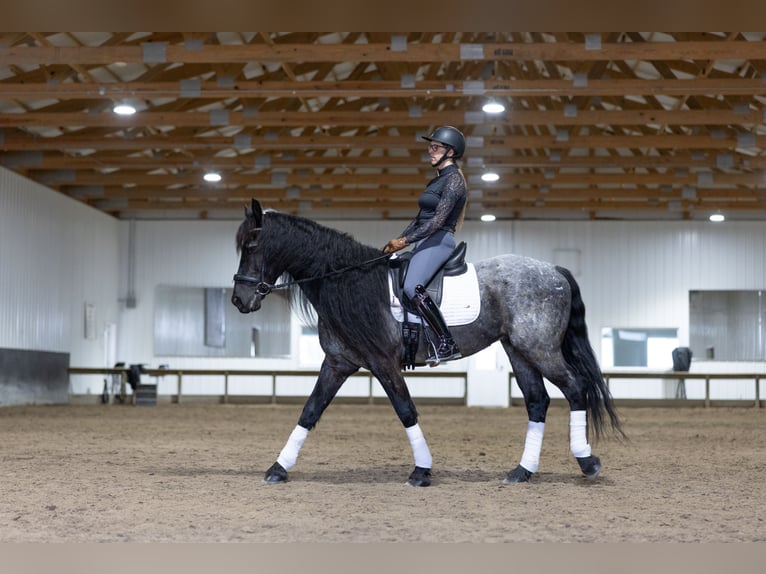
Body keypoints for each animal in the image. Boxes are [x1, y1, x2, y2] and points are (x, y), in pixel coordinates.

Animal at [232, 199, 623, 486]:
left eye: (251, 244)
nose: (239, 300)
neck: (347, 282)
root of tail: (554, 269)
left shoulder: (382, 362)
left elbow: (406, 411)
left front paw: (421, 471)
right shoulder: (339, 362)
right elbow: (310, 410)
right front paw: (278, 468)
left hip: (540, 349)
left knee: (575, 388)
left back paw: (587, 462)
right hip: (519, 351)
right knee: (537, 401)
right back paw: (522, 472)